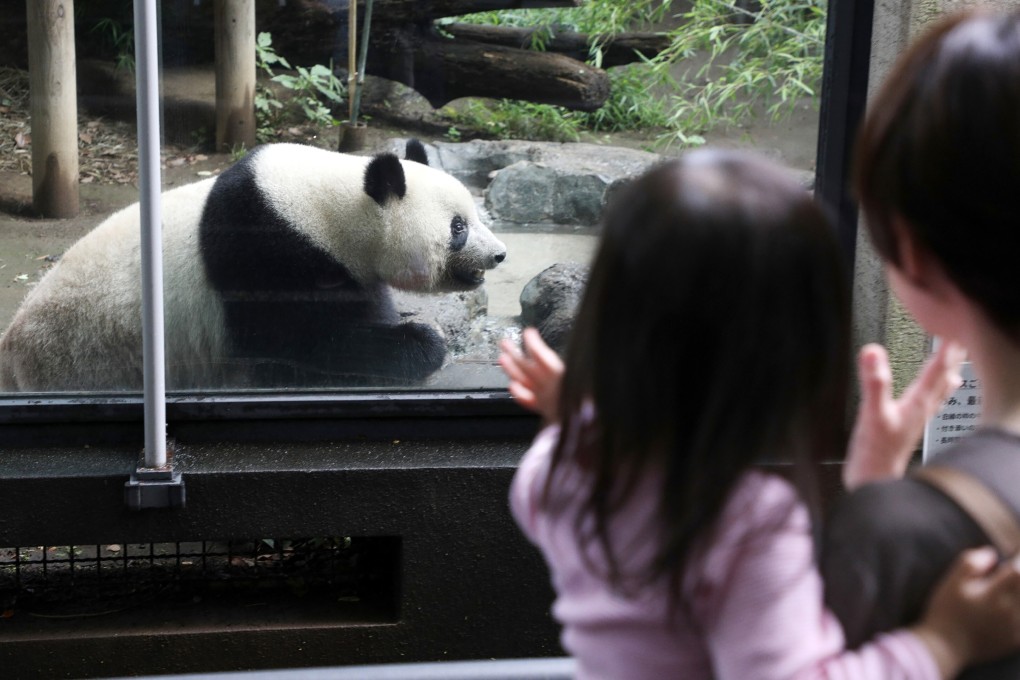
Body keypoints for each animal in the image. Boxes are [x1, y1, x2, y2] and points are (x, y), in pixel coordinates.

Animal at [0, 140, 507, 391]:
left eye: (474, 215)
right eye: (458, 227)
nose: (499, 254)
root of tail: (14, 341)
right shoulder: (266, 254)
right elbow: (303, 347)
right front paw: (420, 342)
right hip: (80, 354)